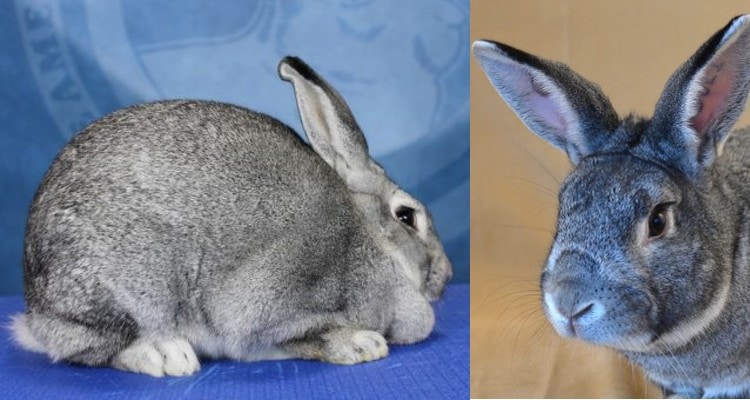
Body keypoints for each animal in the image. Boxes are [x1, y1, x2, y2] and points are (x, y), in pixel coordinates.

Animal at [10, 56, 452, 378]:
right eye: (407, 217)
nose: (447, 274)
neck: (370, 237)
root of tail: (36, 311)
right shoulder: (266, 306)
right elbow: (306, 334)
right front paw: (362, 344)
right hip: (129, 291)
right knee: (92, 347)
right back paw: (167, 354)